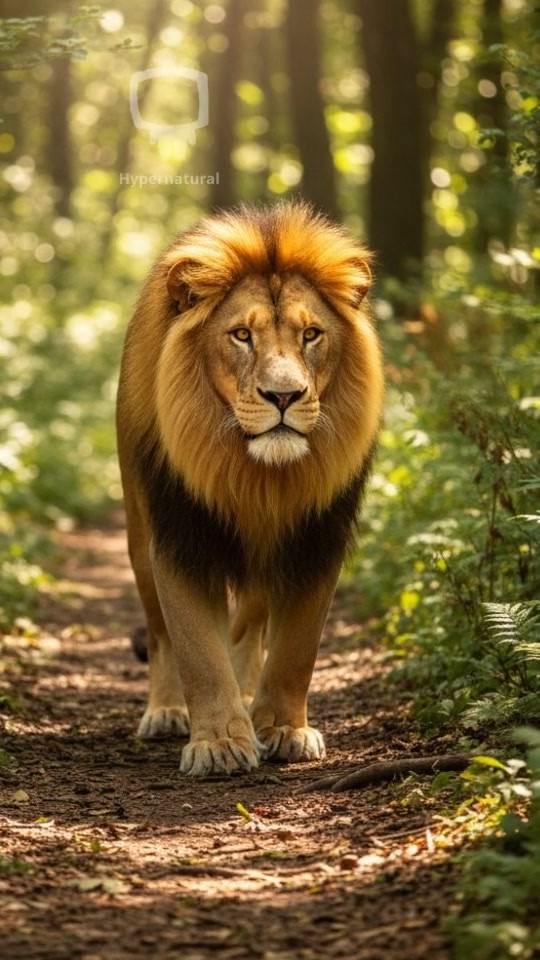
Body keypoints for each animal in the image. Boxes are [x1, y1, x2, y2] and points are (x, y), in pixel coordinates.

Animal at [116, 200, 384, 777]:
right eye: (241, 335)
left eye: (311, 335)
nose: (284, 396)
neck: (256, 475)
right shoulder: (180, 535)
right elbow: (196, 649)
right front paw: (218, 742)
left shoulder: (317, 538)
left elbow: (296, 651)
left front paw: (284, 729)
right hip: (137, 535)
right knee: (159, 633)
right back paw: (166, 711)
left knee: (249, 625)